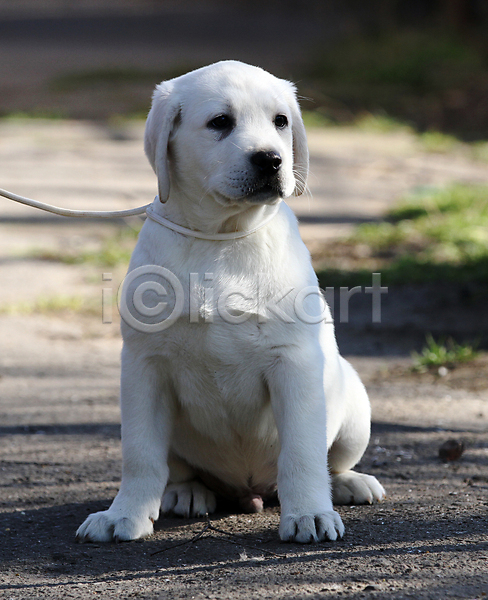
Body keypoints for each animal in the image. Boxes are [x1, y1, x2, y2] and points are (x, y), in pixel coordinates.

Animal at [76, 61, 386, 544]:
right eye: (220, 122)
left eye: (281, 121)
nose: (272, 159)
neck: (221, 237)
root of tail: (251, 490)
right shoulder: (145, 366)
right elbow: (141, 455)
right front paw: (123, 514)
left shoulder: (293, 363)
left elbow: (302, 453)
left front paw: (310, 514)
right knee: (177, 468)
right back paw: (185, 492)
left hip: (354, 407)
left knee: (331, 461)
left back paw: (349, 484)